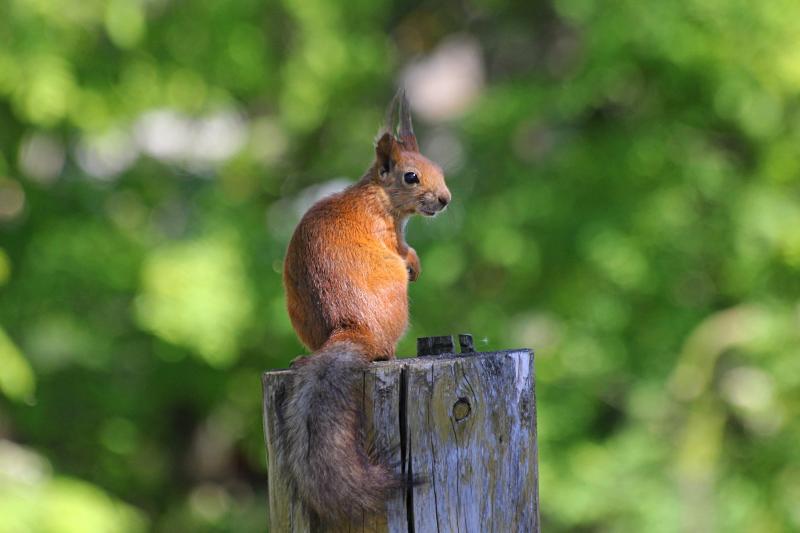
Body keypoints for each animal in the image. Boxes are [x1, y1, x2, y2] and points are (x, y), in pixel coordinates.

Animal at [278, 90, 450, 520]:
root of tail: (356, 330)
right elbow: (402, 250)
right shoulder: (387, 235)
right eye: (411, 176)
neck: (378, 196)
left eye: (438, 168)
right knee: (384, 349)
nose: (444, 200)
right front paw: (415, 263)